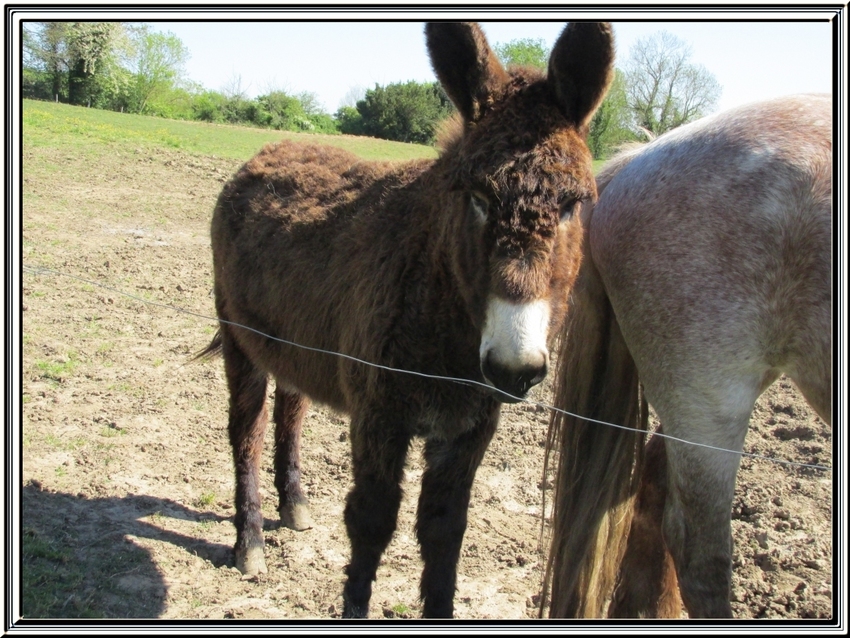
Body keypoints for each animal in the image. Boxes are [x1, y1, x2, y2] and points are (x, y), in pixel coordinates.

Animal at [202, 21, 612, 620]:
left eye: (572, 205)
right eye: (478, 196)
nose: (514, 369)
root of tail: (270, 148)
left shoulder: (469, 430)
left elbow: (444, 533)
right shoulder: (379, 417)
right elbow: (372, 524)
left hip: (297, 343)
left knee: (291, 410)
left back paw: (294, 505)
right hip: (241, 338)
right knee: (246, 432)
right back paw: (249, 542)